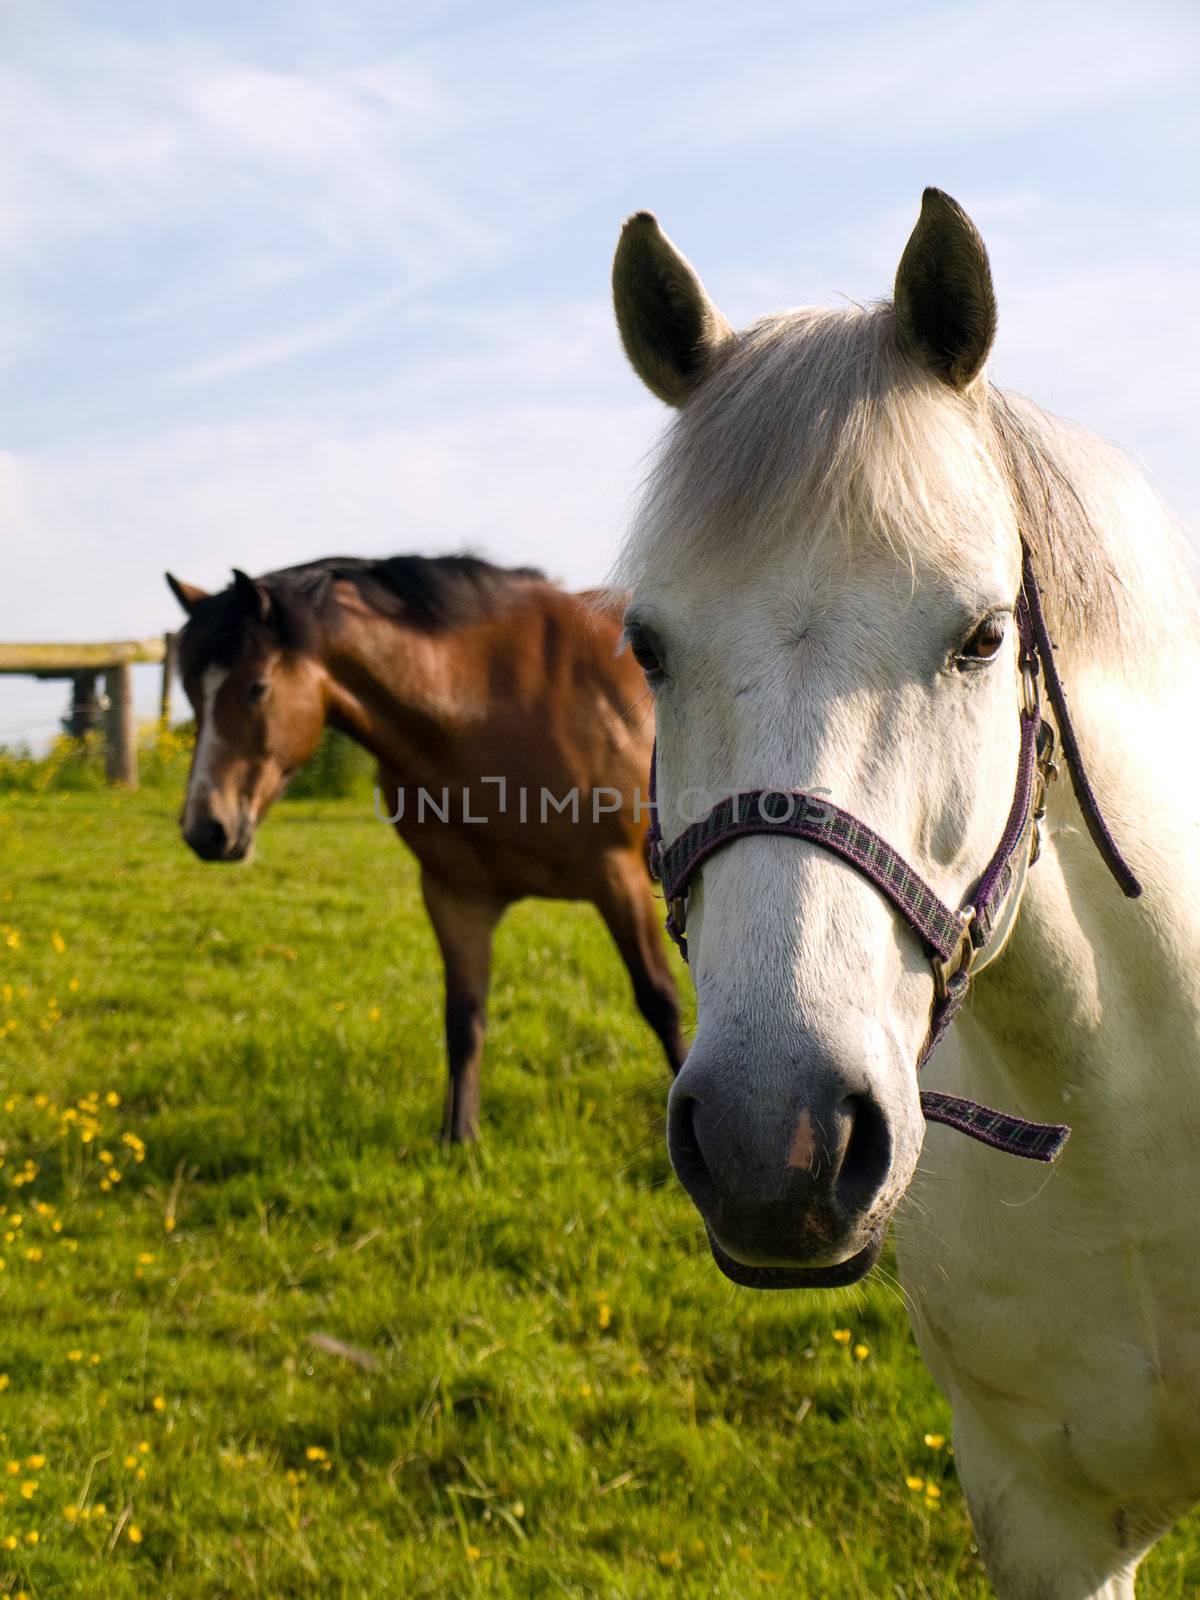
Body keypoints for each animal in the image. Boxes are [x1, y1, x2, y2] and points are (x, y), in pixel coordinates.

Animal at [165, 556, 684, 1145]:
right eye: (190, 690)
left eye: (257, 687)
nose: (207, 829)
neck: (490, 707)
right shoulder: (454, 895)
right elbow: (464, 1017)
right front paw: (458, 1138)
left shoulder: (617, 879)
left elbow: (659, 999)